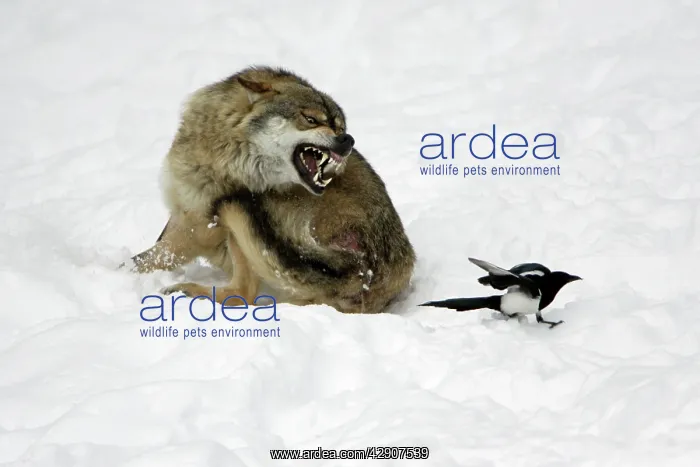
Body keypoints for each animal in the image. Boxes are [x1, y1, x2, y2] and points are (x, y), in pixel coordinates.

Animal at [129, 66, 415, 314]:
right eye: (311, 119)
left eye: (340, 127)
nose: (347, 140)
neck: (227, 152)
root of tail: (366, 269)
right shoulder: (179, 221)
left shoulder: (195, 230)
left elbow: (140, 262)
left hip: (244, 214)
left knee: (242, 294)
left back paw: (184, 291)